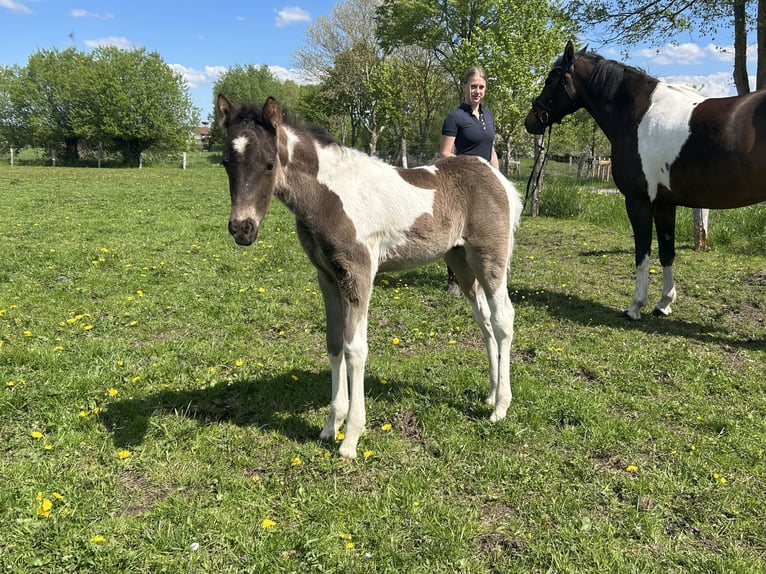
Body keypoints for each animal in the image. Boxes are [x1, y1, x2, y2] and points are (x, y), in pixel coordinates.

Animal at [216, 94, 523, 459]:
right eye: (225, 163)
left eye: (267, 164)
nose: (242, 229)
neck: (329, 197)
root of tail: (497, 177)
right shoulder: (327, 277)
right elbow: (334, 344)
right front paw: (329, 426)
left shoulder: (357, 273)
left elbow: (355, 349)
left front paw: (350, 438)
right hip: (461, 263)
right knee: (485, 320)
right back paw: (490, 394)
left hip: (490, 258)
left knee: (503, 319)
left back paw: (500, 407)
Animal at [525, 41, 766, 320]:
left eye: (551, 79)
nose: (531, 120)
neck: (637, 114)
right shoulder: (664, 204)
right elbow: (666, 252)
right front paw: (664, 304)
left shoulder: (638, 201)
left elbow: (642, 254)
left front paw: (635, 307)